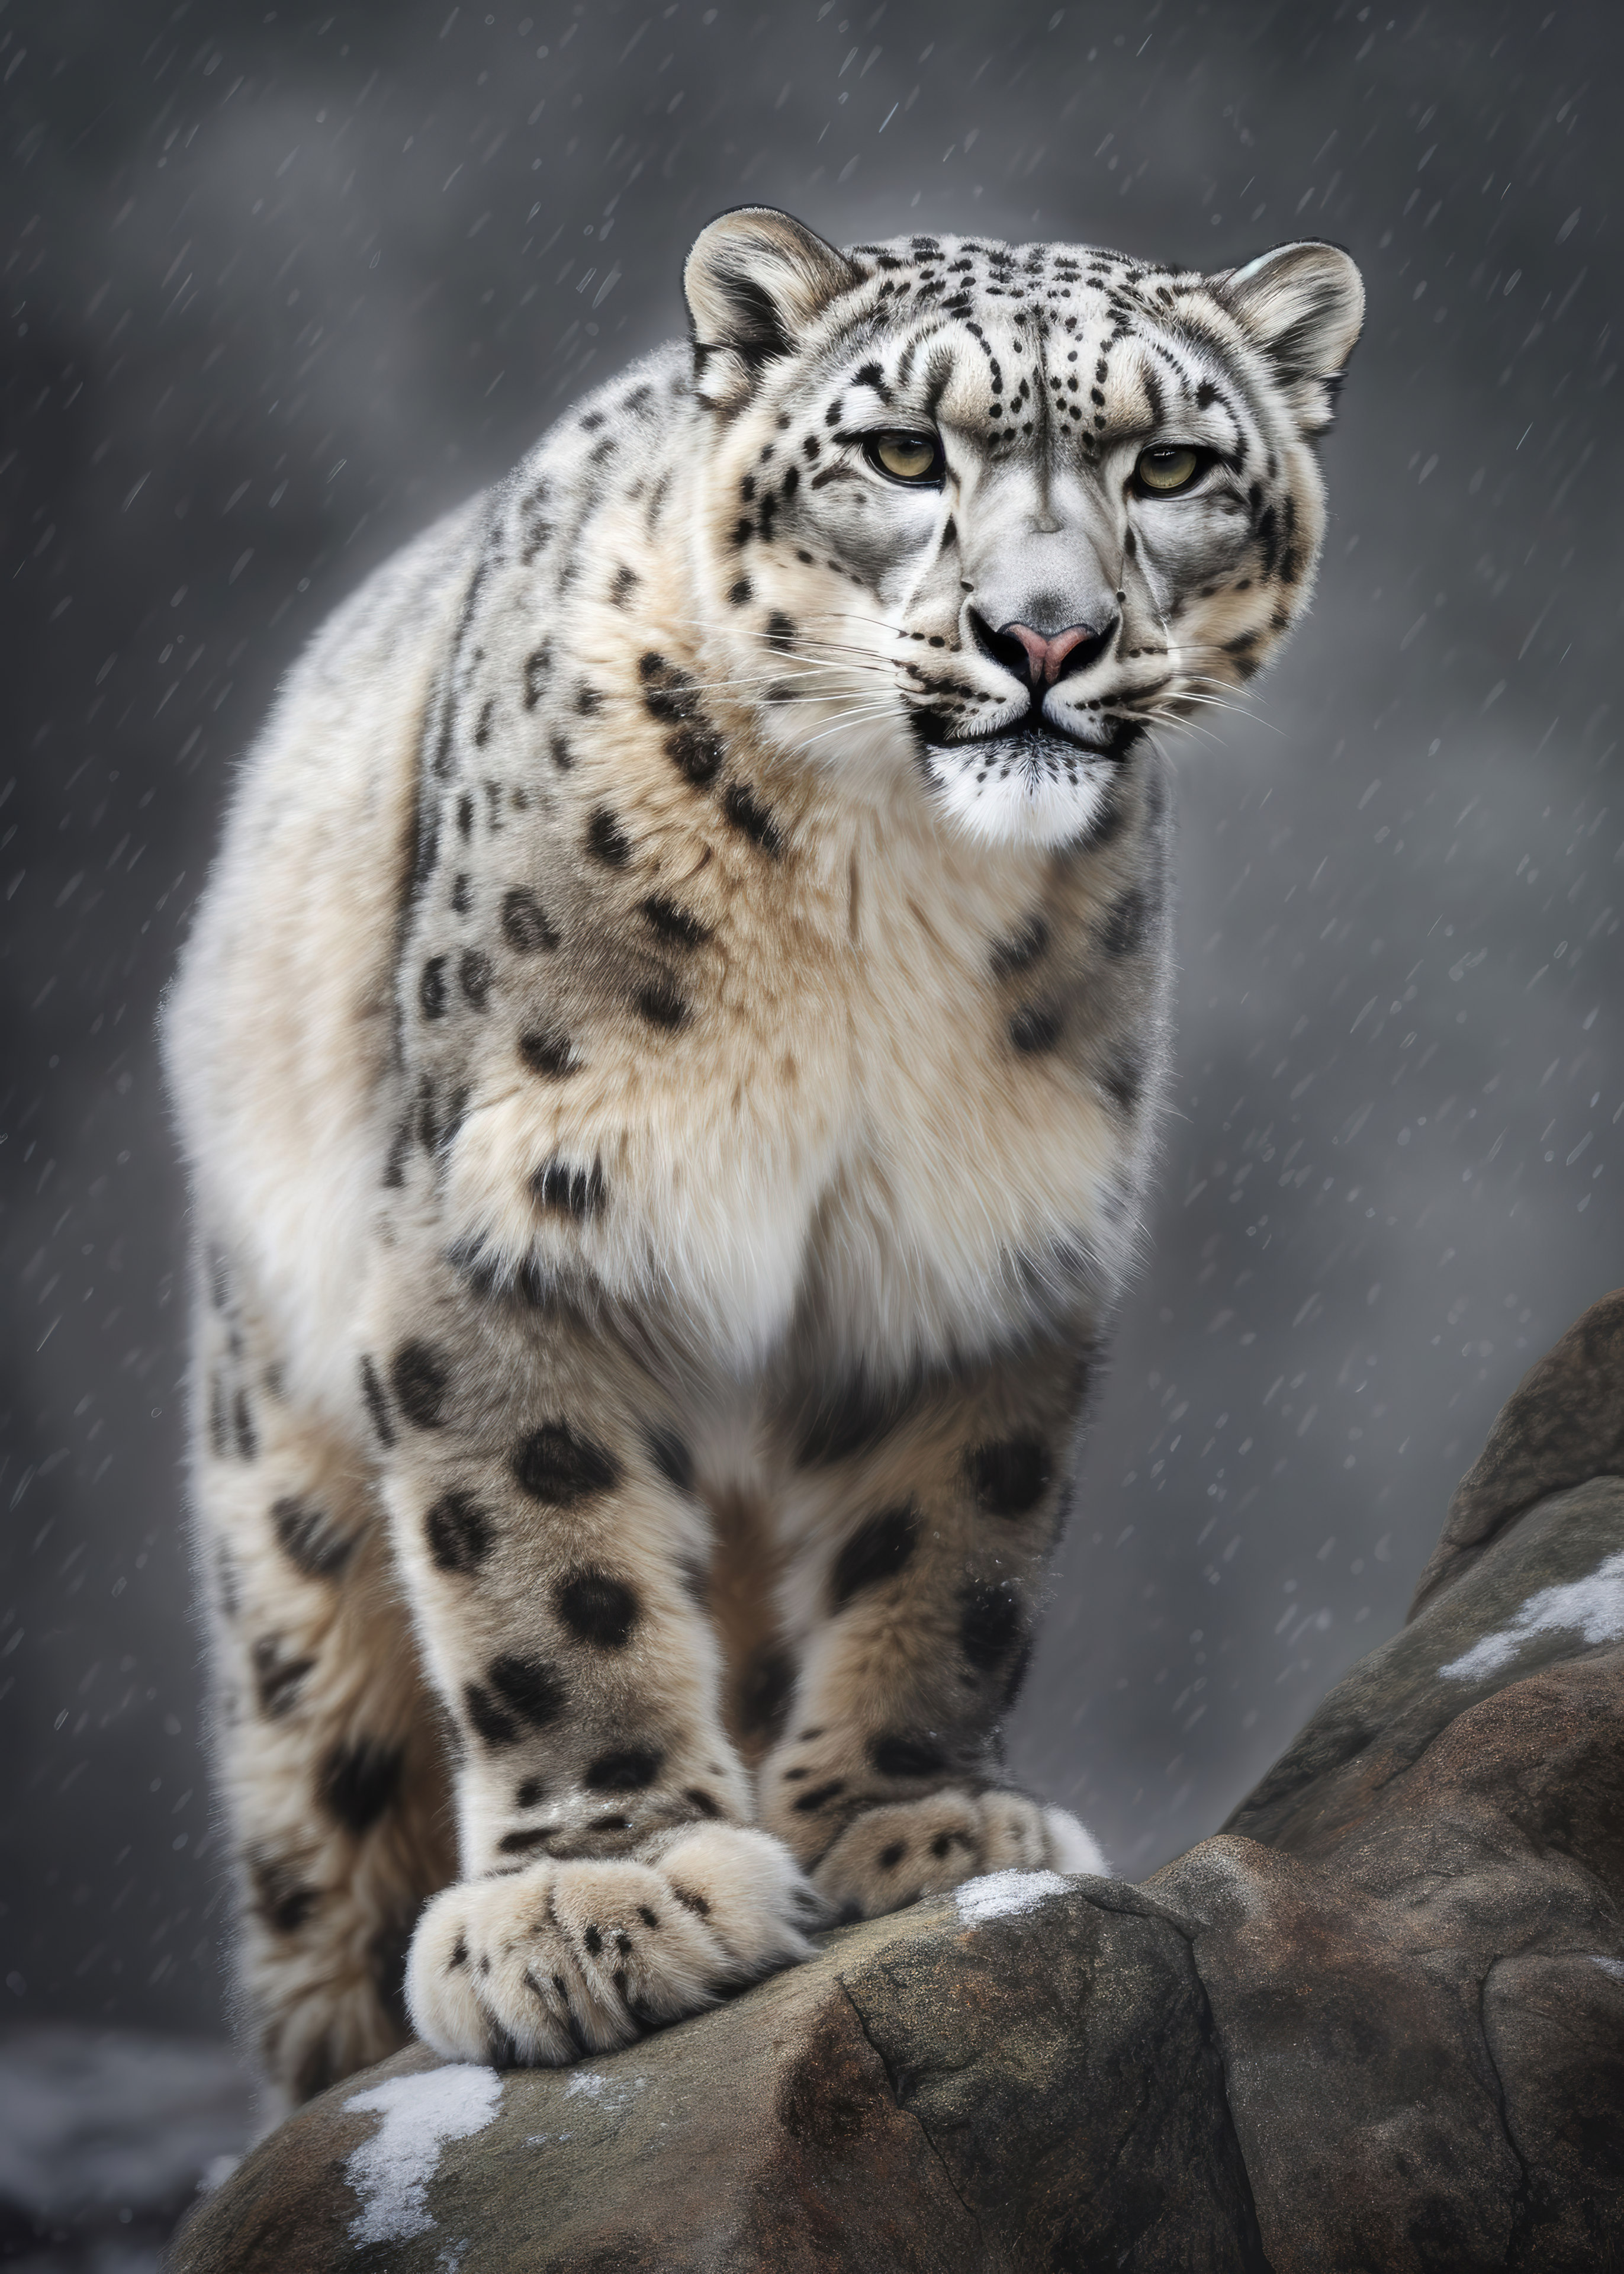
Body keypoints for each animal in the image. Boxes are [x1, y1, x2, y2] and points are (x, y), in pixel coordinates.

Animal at [164, 204, 1362, 2114]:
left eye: (1168, 465)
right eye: (903, 452)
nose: (1042, 636)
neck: (881, 889)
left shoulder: (977, 1239)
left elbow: (948, 1547)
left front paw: (910, 1822)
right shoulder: (520, 1216)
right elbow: (546, 1560)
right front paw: (604, 1893)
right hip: (286, 1541)